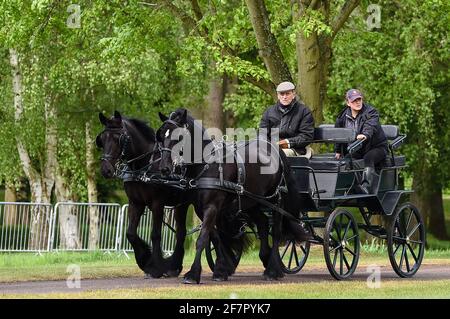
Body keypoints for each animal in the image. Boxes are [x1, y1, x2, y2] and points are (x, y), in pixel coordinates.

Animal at [96, 111, 190, 278]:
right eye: (102, 139)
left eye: (119, 138)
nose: (105, 170)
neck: (144, 165)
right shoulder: (135, 203)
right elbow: (130, 233)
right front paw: (145, 260)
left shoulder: (157, 203)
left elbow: (155, 234)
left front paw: (156, 267)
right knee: (183, 232)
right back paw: (174, 267)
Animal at [156, 109, 308, 284]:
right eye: (161, 136)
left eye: (179, 137)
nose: (164, 168)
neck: (207, 165)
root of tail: (273, 146)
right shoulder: (202, 209)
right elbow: (215, 237)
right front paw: (222, 270)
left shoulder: (212, 207)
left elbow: (202, 238)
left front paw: (193, 274)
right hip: (253, 201)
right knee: (263, 224)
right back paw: (265, 257)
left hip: (275, 200)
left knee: (276, 231)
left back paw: (273, 270)